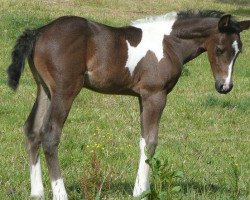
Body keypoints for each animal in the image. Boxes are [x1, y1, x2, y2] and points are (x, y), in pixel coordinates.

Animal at [6, 9, 249, 200]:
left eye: (238, 51)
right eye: (219, 49)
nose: (225, 86)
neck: (168, 43)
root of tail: (38, 32)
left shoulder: (143, 97)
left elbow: (143, 140)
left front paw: (143, 187)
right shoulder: (155, 94)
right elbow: (151, 141)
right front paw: (140, 191)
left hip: (44, 89)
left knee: (32, 131)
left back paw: (37, 192)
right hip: (64, 91)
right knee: (50, 135)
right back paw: (60, 194)